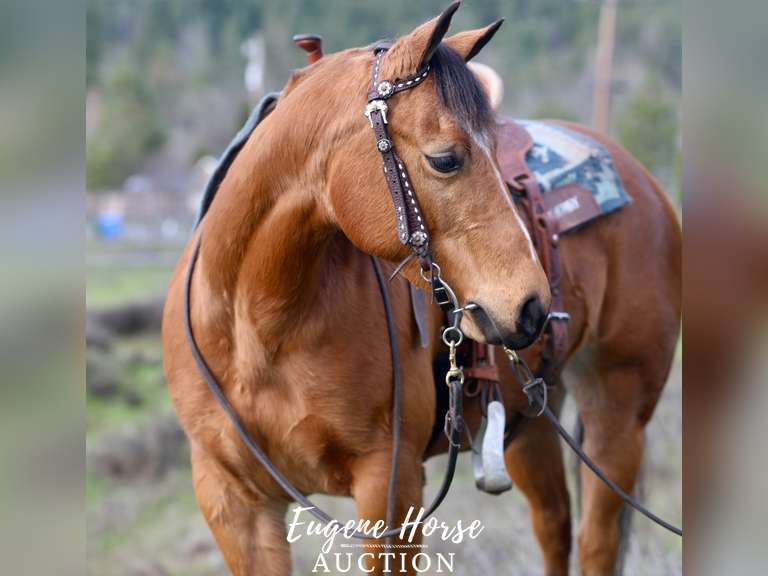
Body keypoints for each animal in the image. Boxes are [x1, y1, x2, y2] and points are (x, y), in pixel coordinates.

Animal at [163, 4, 681, 575]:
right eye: (446, 159)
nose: (530, 306)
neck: (260, 328)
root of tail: (643, 181)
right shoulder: (234, 504)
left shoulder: (389, 488)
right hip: (532, 419)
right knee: (554, 525)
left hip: (618, 411)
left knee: (597, 540)